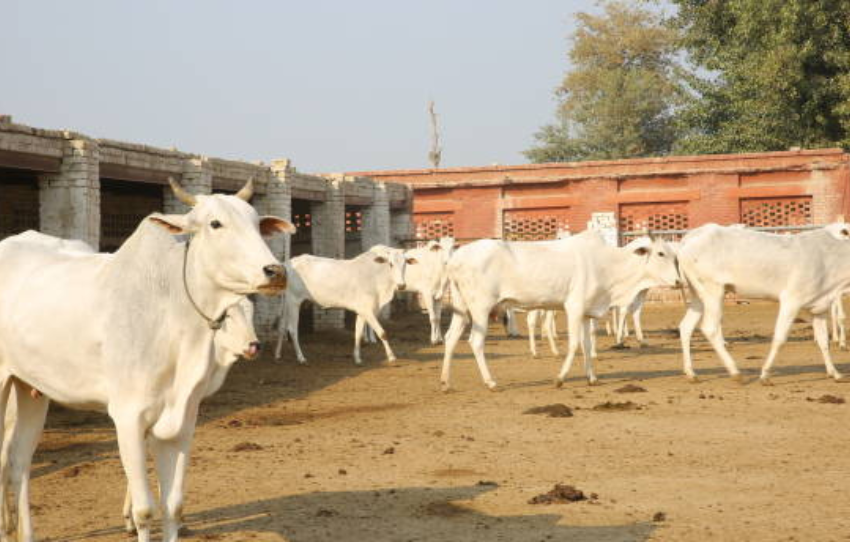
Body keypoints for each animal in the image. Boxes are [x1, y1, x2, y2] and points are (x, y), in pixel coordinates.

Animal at [0, 177, 293, 542]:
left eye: (256, 223)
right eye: (215, 223)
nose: (275, 271)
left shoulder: (183, 422)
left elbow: (173, 506)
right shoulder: (127, 417)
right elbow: (144, 510)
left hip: (31, 389)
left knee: (19, 464)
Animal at [273, 245, 415, 365]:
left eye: (405, 264)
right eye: (390, 264)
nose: (402, 285)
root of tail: (287, 263)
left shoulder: (362, 311)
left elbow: (358, 334)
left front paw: (357, 358)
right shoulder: (367, 310)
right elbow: (382, 333)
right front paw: (391, 356)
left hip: (286, 302)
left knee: (282, 327)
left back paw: (277, 355)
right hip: (294, 301)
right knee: (292, 329)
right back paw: (301, 358)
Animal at [440, 231, 680, 390]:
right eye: (660, 254)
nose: (678, 281)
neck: (607, 265)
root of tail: (455, 258)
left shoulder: (586, 313)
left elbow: (586, 345)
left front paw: (592, 378)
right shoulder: (573, 307)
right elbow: (574, 344)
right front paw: (560, 378)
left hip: (462, 308)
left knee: (450, 338)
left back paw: (445, 382)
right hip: (480, 307)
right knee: (475, 342)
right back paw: (490, 382)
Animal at [677, 223, 850, 384]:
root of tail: (690, 238)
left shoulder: (819, 308)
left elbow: (823, 341)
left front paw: (835, 373)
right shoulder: (791, 301)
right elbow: (779, 338)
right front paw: (765, 375)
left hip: (699, 296)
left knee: (686, 327)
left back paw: (691, 373)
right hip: (713, 291)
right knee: (710, 329)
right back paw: (735, 372)